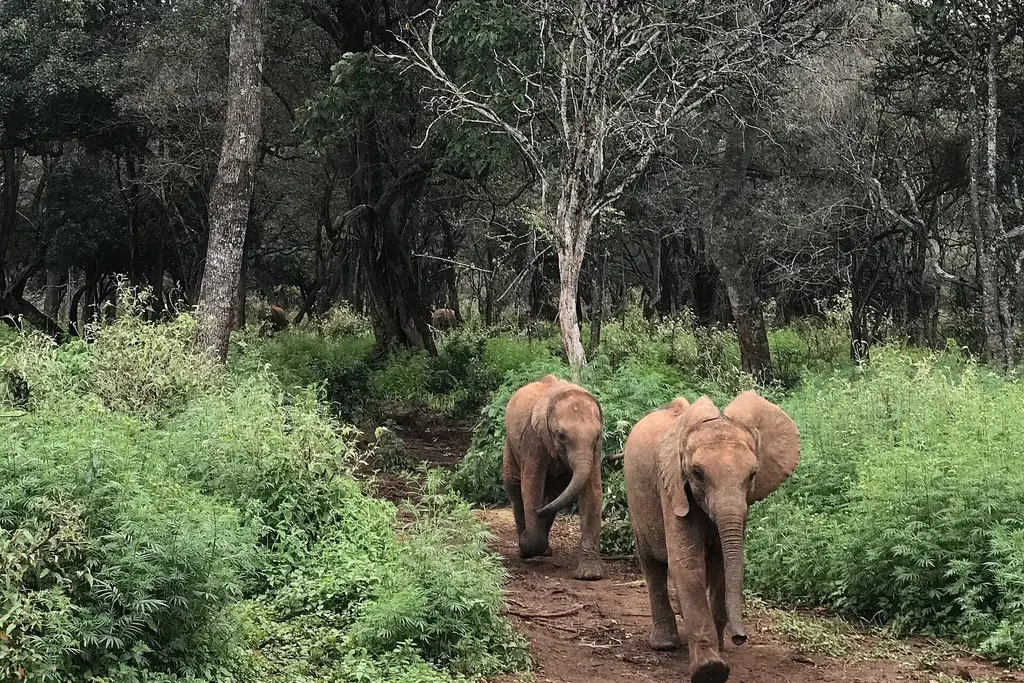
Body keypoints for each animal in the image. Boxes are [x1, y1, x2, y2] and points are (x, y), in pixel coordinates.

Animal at [502, 374, 604, 580]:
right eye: (561, 436)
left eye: (597, 436)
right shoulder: (533, 438)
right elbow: (531, 486)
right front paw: (527, 543)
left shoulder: (595, 450)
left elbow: (593, 491)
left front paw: (589, 575)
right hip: (509, 445)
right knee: (516, 490)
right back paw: (525, 550)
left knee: (553, 495)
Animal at [623, 391, 799, 683]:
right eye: (697, 474)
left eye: (753, 474)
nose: (740, 638)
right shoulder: (673, 488)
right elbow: (687, 564)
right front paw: (710, 670)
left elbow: (723, 567)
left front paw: (718, 649)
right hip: (636, 499)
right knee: (652, 564)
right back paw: (665, 643)